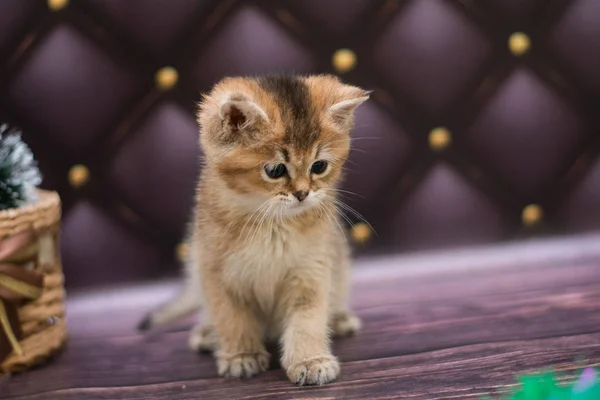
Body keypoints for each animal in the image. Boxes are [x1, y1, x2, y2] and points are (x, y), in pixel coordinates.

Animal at [140, 73, 368, 386]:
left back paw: (340, 318)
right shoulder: (216, 271)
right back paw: (208, 333)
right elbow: (232, 318)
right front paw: (241, 355)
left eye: (319, 166)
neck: (271, 222)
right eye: (275, 170)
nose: (302, 194)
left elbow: (307, 319)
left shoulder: (311, 270)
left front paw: (310, 361)